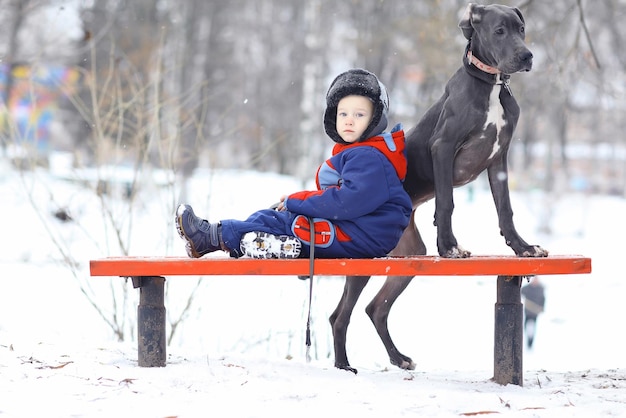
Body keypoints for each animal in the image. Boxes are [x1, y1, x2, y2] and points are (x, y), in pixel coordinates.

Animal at [330, 3, 544, 374]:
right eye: (499, 31)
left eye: (522, 29)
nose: (526, 55)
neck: (490, 85)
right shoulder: (442, 147)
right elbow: (446, 202)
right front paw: (450, 247)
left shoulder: (499, 159)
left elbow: (506, 209)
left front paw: (522, 248)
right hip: (363, 262)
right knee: (341, 316)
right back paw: (344, 366)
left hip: (407, 256)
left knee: (376, 308)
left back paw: (399, 358)